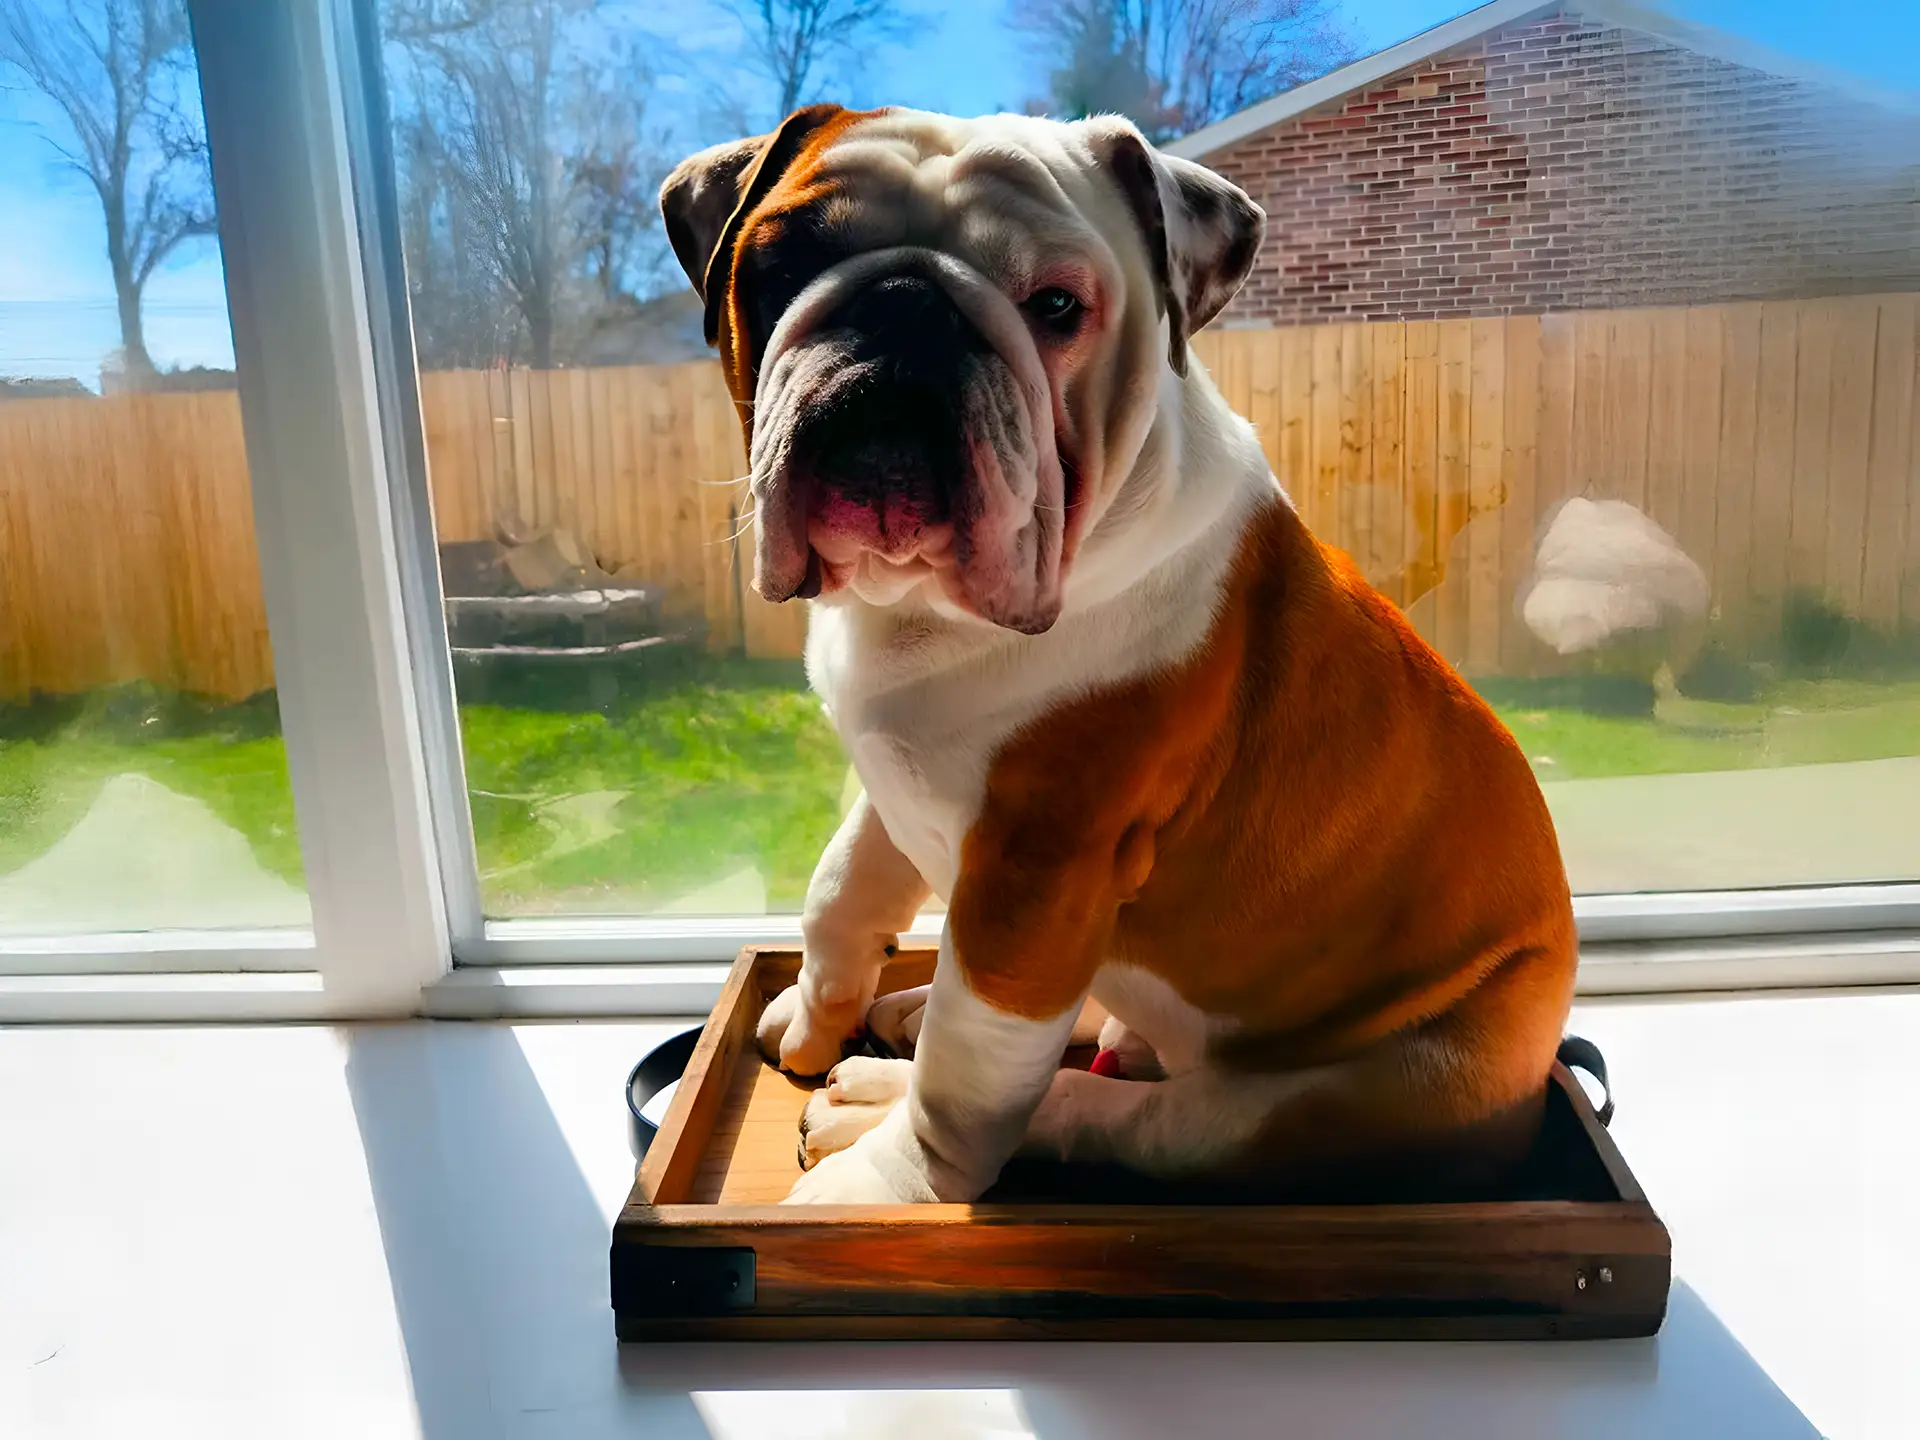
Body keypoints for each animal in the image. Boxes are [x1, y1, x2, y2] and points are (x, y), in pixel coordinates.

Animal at [660, 107, 1574, 1205]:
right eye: (783, 261)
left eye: (1057, 306)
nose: (905, 304)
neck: (920, 611)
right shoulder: (893, 777)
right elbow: (842, 890)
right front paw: (813, 1013)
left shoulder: (1037, 875)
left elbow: (969, 1076)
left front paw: (891, 1184)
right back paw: (915, 1013)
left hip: (1311, 1101)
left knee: (1116, 1113)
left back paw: (885, 1098)